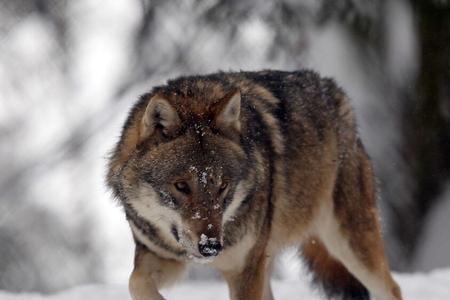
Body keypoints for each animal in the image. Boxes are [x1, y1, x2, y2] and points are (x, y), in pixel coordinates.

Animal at [107, 71, 402, 300]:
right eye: (181, 186)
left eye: (222, 186)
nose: (211, 247)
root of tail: (333, 89)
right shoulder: (161, 255)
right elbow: (135, 282)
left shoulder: (244, 271)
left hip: (350, 246)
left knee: (392, 288)